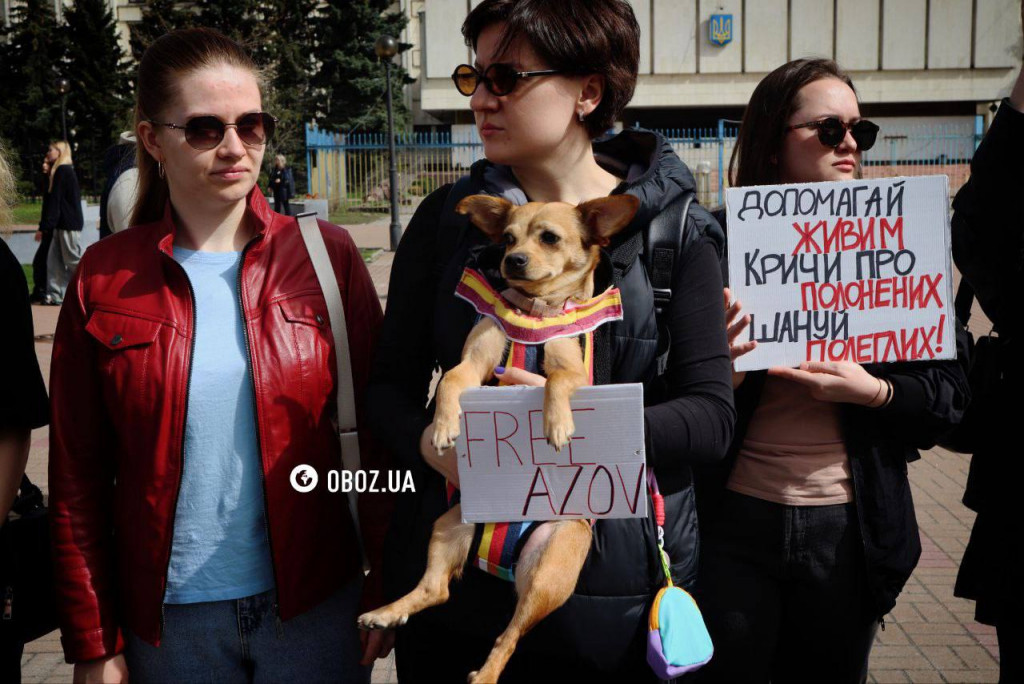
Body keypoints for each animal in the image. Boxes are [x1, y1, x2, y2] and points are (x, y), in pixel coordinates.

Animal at [356, 193, 634, 684]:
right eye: (506, 238)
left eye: (549, 238)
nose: (512, 260)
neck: (532, 311)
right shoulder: (474, 362)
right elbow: (450, 379)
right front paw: (444, 425)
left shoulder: (573, 373)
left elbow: (554, 382)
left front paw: (556, 424)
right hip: (448, 527)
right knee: (437, 590)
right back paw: (386, 611)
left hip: (548, 573)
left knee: (511, 634)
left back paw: (485, 673)